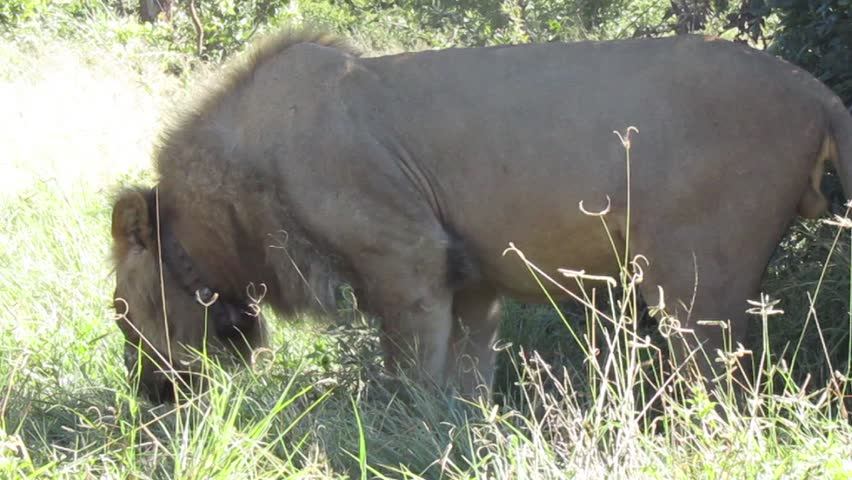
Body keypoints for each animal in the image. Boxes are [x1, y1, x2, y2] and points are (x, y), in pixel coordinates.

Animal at [110, 30, 852, 403]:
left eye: (122, 315)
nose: (150, 395)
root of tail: (818, 93)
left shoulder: (407, 255)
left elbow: (408, 376)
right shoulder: (472, 282)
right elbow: (464, 380)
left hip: (697, 282)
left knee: (723, 391)